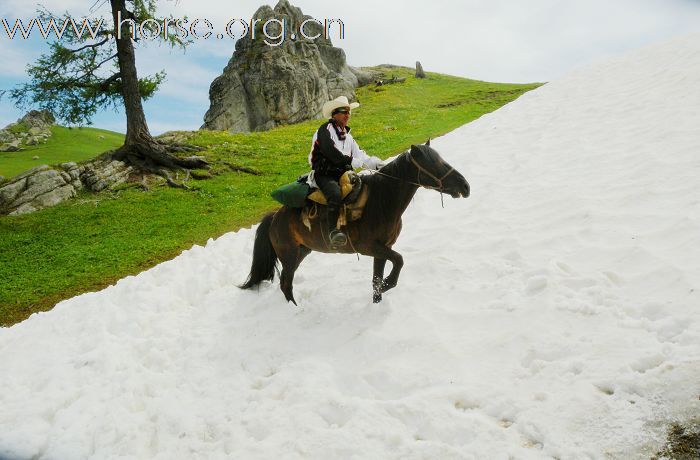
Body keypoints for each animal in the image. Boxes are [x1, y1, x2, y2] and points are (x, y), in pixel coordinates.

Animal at [239, 142, 470, 304]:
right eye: (433, 164)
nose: (465, 186)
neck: (381, 200)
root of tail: (274, 218)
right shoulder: (368, 247)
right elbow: (399, 260)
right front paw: (389, 283)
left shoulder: (382, 249)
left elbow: (377, 278)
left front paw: (379, 295)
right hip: (289, 255)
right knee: (286, 284)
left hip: (301, 252)